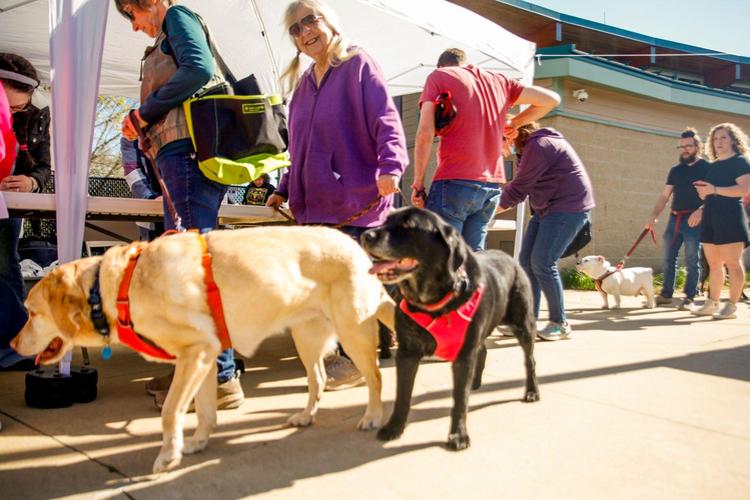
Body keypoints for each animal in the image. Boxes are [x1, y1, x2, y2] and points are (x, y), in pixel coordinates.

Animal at [11, 227, 394, 472]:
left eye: (31, 312)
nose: (12, 343)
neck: (118, 287)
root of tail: (356, 246)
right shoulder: (206, 358)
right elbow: (206, 410)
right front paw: (196, 442)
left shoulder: (194, 354)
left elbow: (170, 411)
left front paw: (169, 455)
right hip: (306, 337)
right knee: (317, 378)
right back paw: (306, 415)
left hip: (352, 330)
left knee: (375, 376)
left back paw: (373, 416)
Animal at [362, 206, 536, 450]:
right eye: (386, 220)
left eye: (407, 225)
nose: (365, 235)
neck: (431, 302)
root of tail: (509, 257)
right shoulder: (407, 353)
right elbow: (402, 395)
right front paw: (394, 428)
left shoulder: (463, 356)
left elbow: (460, 399)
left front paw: (458, 435)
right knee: (483, 351)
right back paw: (476, 382)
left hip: (523, 325)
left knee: (530, 360)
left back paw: (531, 391)